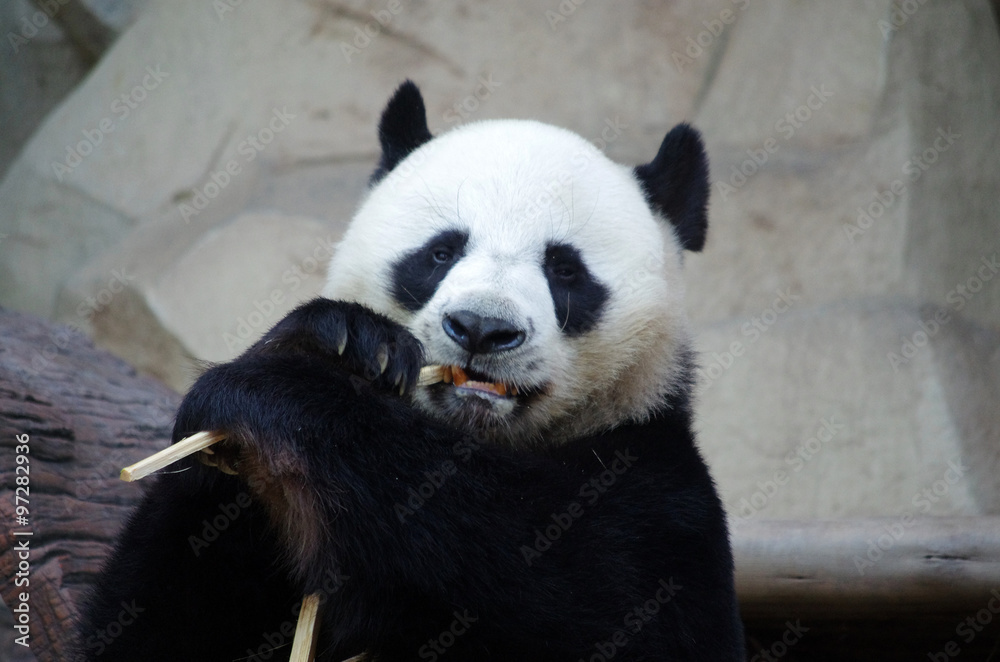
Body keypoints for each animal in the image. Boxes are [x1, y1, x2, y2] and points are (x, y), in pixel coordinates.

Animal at [76, 81, 745, 661]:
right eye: (441, 252)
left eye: (565, 270)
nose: (481, 328)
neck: (480, 435)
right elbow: (150, 622)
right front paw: (338, 344)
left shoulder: (656, 489)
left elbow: (585, 586)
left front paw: (292, 394)